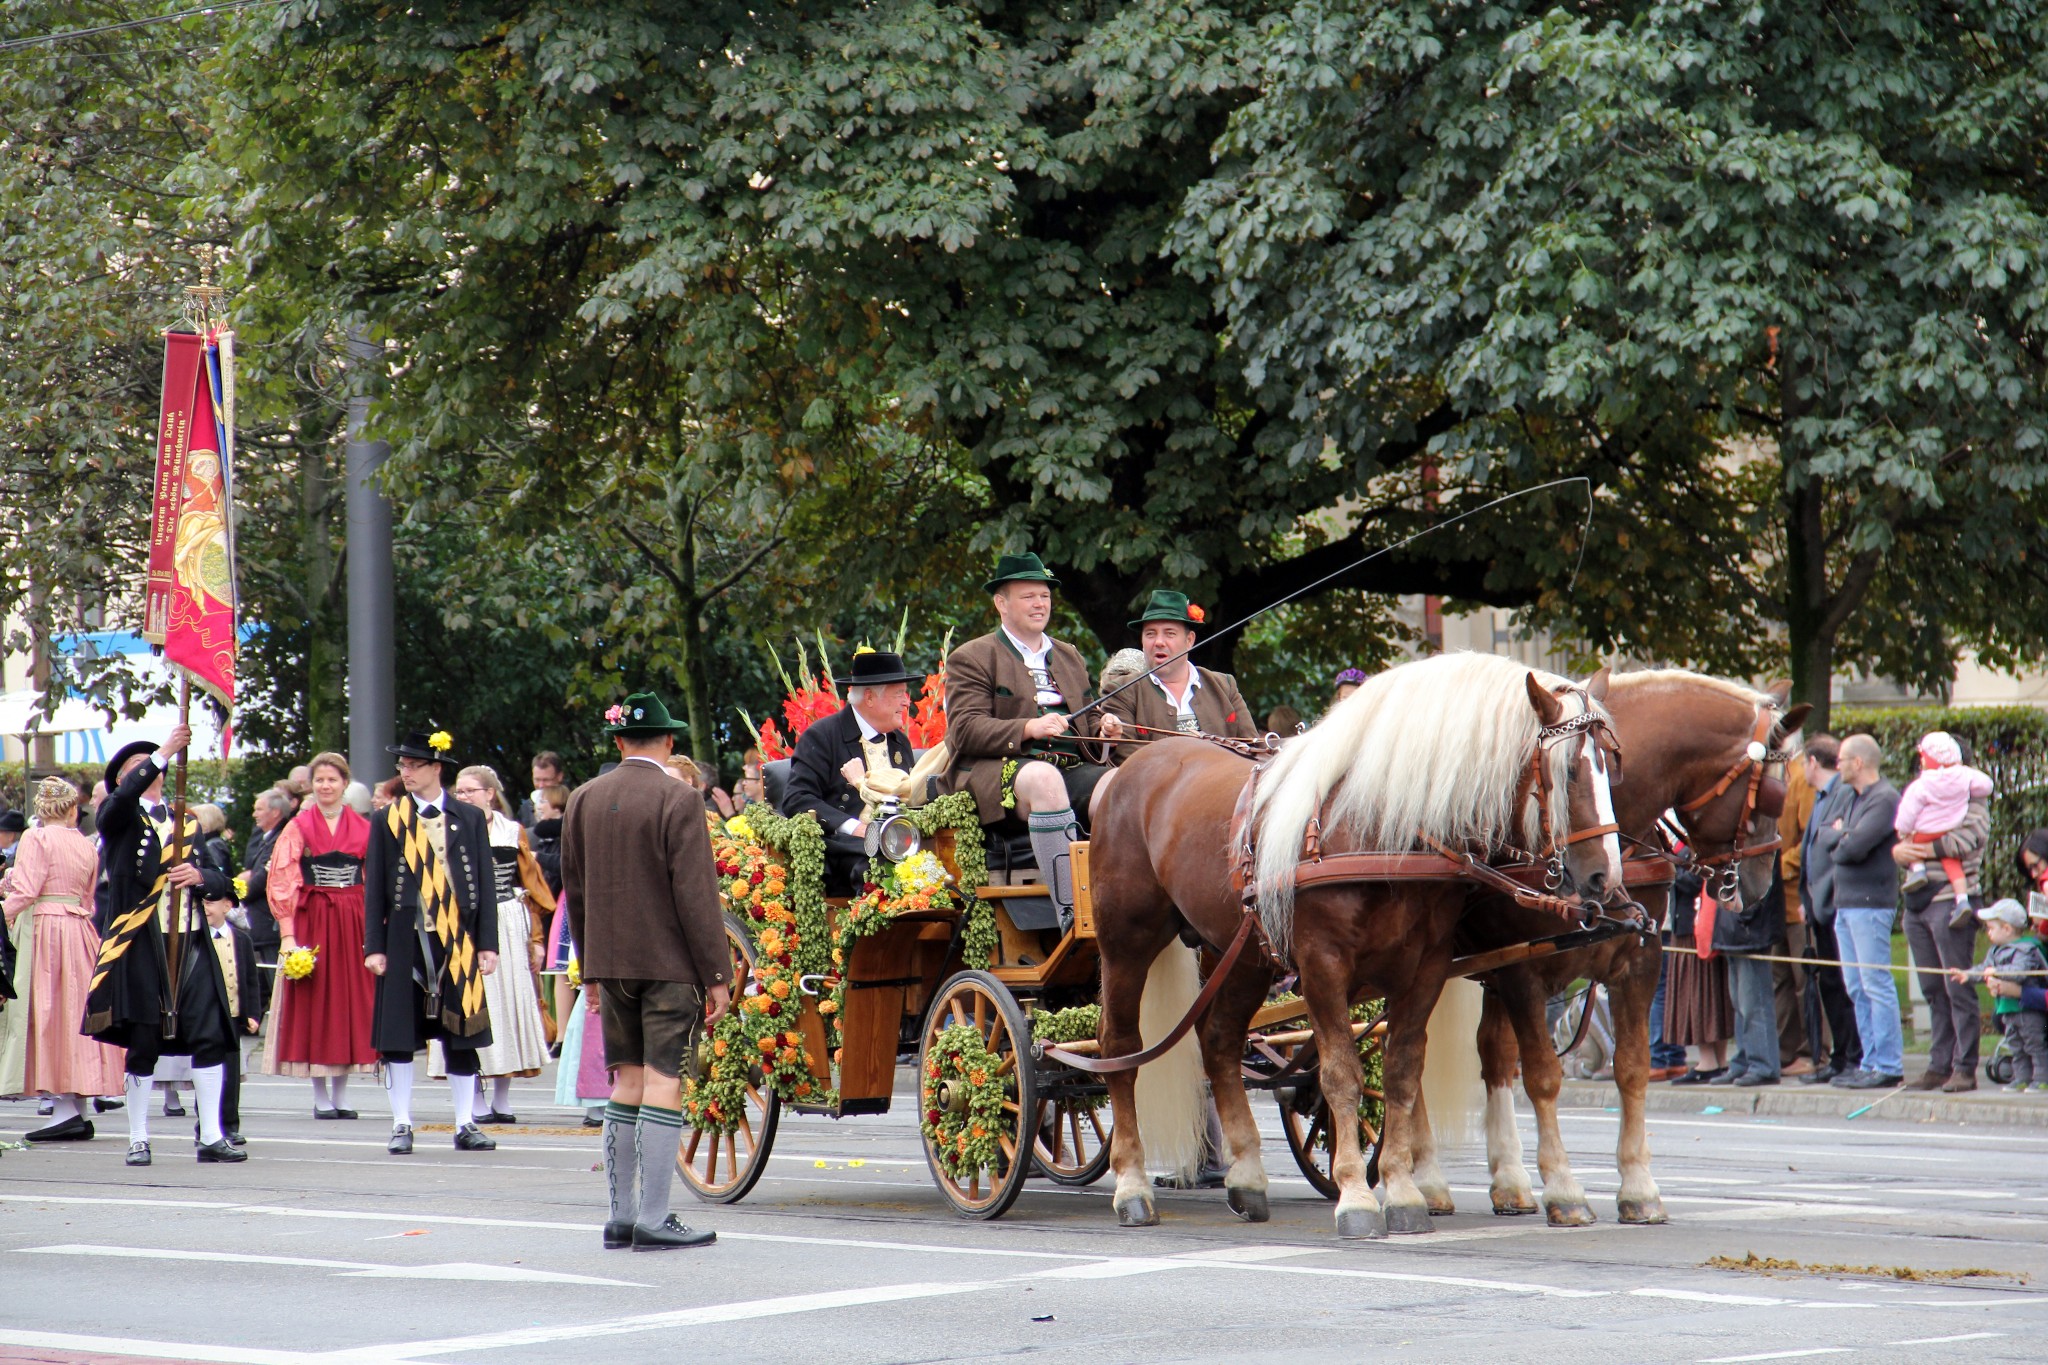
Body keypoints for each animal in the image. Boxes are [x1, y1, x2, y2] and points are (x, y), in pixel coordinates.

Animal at [1097, 650, 1622, 1236]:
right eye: (1571, 770)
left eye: (1612, 764)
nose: (1605, 878)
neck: (1380, 830)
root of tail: (1139, 761)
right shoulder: (1323, 965)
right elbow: (1341, 1076)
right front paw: (1355, 1195)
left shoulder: (1425, 967)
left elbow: (1401, 1074)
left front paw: (1403, 1191)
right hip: (1126, 942)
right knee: (1119, 1048)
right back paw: (1132, 1185)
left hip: (1244, 954)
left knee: (1218, 1042)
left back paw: (1247, 1178)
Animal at [1409, 671, 1810, 1227]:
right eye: (1770, 795)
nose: (1757, 885)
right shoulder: (1524, 974)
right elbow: (1543, 1075)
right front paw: (1564, 1188)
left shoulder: (1639, 960)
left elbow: (1633, 1068)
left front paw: (1639, 1187)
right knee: (1415, 1056)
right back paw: (1426, 1179)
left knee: (1491, 1055)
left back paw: (1509, 1179)